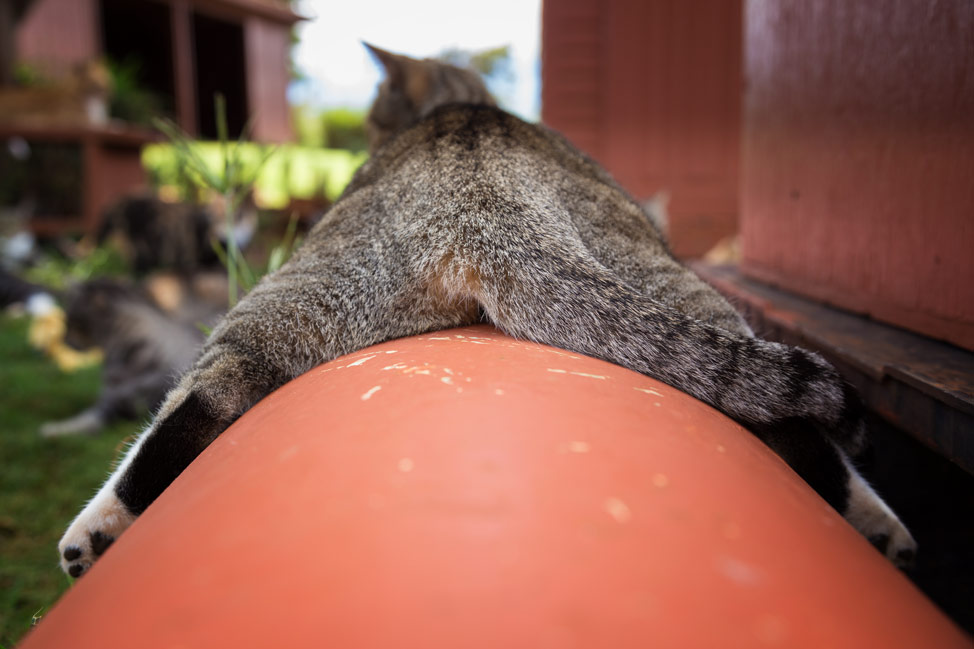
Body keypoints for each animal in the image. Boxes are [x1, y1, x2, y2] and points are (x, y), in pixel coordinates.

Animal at [59, 46, 916, 576]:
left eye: (375, 111)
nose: (368, 130)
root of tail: (483, 192)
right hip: (675, 290)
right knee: (787, 411)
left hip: (286, 301)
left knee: (193, 406)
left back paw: (91, 532)